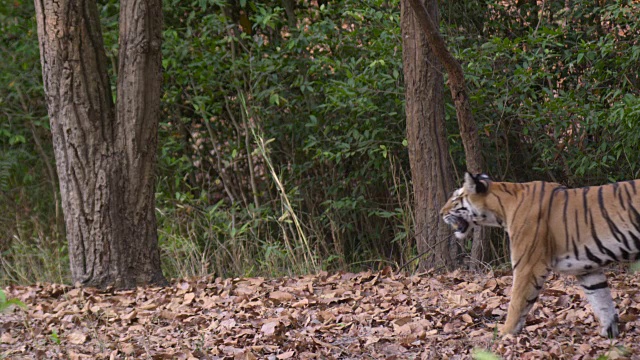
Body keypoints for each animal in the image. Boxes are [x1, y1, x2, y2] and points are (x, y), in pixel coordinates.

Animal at [440, 173, 640, 338]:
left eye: (456, 198)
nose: (441, 213)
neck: (502, 209)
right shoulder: (587, 268)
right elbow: (602, 301)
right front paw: (610, 336)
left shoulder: (526, 266)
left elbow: (516, 303)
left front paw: (503, 335)